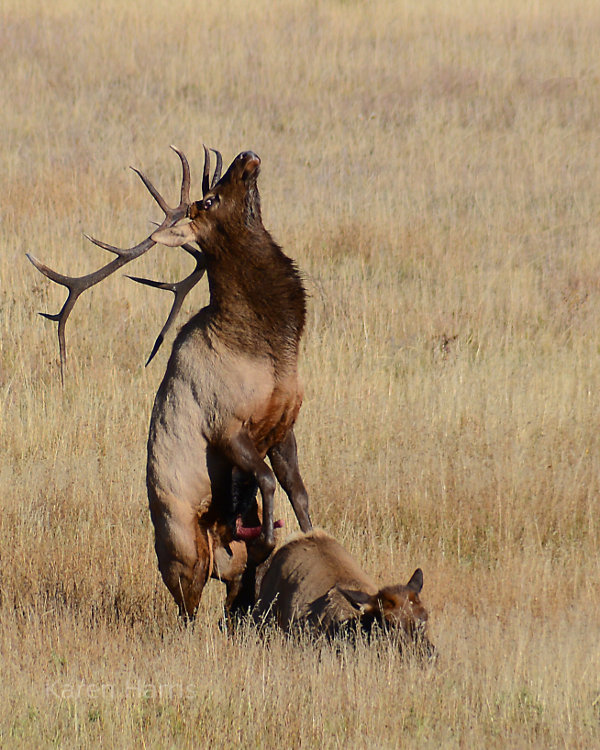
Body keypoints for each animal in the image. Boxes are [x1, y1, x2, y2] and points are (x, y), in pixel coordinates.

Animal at [29, 147, 314, 624]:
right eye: (210, 200)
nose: (246, 155)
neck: (271, 349)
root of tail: (220, 561)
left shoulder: (283, 426)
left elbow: (300, 496)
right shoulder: (226, 427)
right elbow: (269, 483)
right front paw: (266, 538)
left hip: (228, 579)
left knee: (231, 605)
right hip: (182, 551)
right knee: (190, 610)